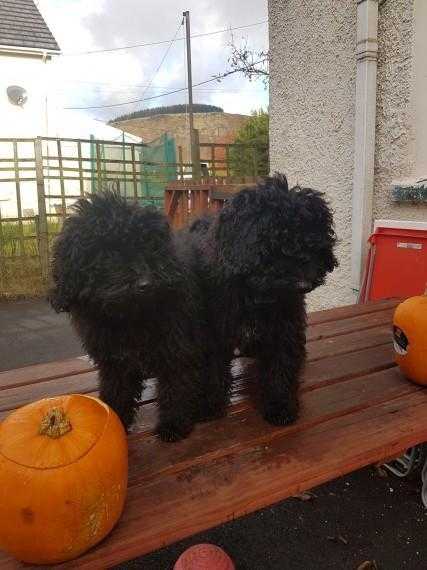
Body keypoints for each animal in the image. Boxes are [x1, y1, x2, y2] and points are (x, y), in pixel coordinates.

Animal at [49, 191, 209, 440]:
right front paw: (116, 420)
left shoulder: (177, 350)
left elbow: (176, 387)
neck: (129, 318)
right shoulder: (115, 362)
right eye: (108, 252)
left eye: (148, 248)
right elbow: (117, 391)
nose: (146, 284)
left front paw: (174, 424)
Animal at [189, 173, 340, 426]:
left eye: (313, 242)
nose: (303, 284)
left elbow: (280, 366)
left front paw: (280, 406)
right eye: (276, 241)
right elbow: (212, 369)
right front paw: (208, 405)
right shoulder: (215, 330)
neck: (255, 294)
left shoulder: (285, 326)